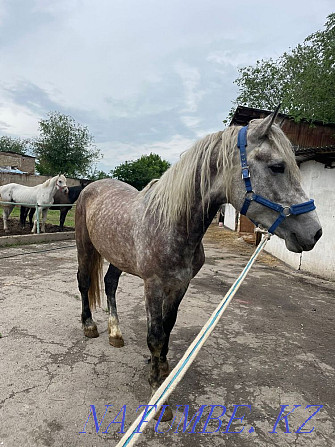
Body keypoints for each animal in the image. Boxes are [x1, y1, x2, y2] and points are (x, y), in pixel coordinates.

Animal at [75, 110, 322, 422]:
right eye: (277, 167)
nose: (315, 232)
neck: (171, 222)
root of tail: (92, 186)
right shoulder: (154, 285)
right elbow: (155, 336)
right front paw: (157, 392)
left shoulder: (180, 285)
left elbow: (167, 328)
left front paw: (162, 372)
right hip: (85, 246)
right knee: (84, 282)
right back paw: (90, 326)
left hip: (117, 256)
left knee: (109, 284)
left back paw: (115, 333)